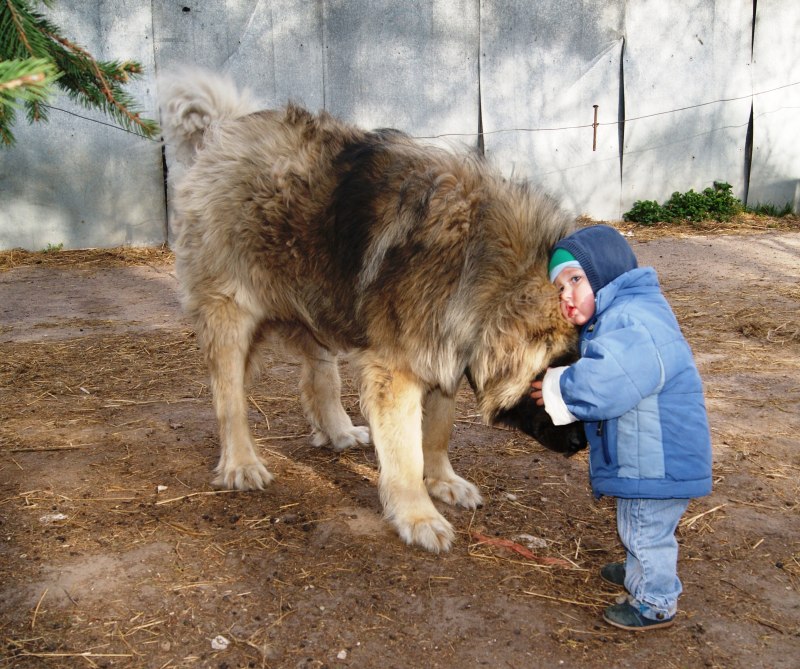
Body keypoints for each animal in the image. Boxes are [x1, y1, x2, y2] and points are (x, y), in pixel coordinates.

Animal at [158, 69, 580, 552]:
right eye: (551, 382)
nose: (580, 446)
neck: (485, 269)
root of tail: (225, 131)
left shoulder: (445, 353)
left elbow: (438, 433)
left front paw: (443, 482)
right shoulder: (398, 372)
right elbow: (406, 453)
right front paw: (417, 515)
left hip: (318, 301)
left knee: (318, 378)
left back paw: (338, 431)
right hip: (231, 316)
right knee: (229, 399)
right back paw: (240, 463)